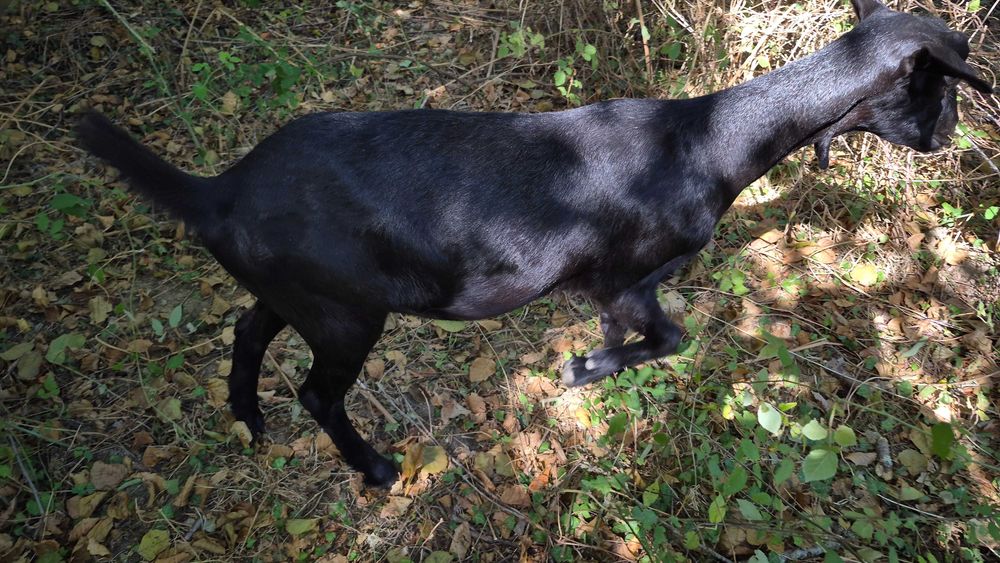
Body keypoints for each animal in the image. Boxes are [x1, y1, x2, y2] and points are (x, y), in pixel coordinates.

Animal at [78, 0, 992, 487]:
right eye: (943, 87)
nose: (951, 142)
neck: (706, 143)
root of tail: (219, 189)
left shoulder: (615, 289)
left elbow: (646, 338)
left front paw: (595, 366)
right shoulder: (627, 276)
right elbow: (668, 336)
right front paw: (585, 369)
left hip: (303, 293)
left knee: (246, 330)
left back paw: (248, 416)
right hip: (346, 315)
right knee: (316, 392)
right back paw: (374, 467)